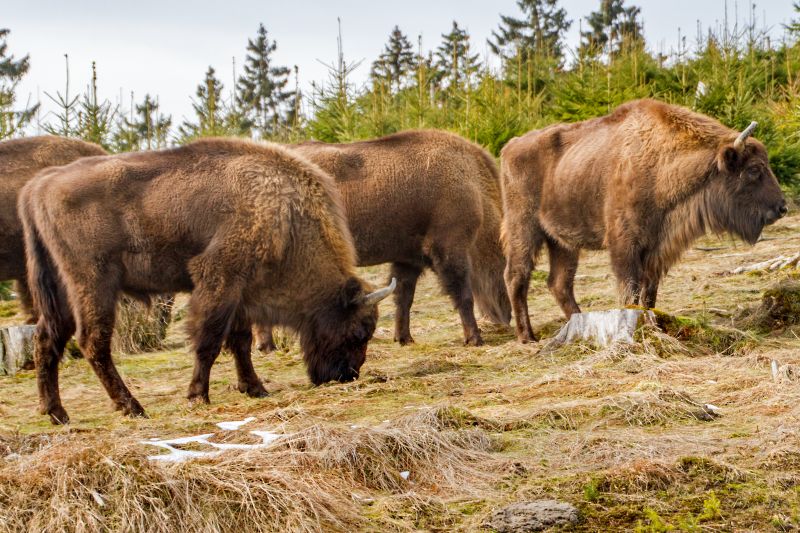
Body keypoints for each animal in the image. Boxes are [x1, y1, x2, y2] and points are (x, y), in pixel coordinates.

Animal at [18, 138, 394, 424]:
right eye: (359, 331)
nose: (347, 375)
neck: (284, 212)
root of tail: (40, 184)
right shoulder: (219, 280)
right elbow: (209, 341)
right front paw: (198, 396)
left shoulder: (240, 292)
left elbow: (240, 342)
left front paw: (255, 388)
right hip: (94, 283)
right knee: (92, 341)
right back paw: (132, 407)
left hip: (60, 290)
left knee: (47, 337)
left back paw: (56, 413)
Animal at [256, 129, 510, 348]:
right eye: (504, 264)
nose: (507, 316)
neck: (472, 186)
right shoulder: (449, 250)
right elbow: (463, 295)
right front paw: (475, 338)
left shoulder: (409, 260)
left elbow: (404, 298)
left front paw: (404, 338)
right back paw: (267, 345)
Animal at [504, 99, 784, 340]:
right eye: (753, 169)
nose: (781, 207)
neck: (660, 165)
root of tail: (510, 146)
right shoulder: (624, 246)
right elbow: (630, 291)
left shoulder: (655, 249)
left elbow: (649, 293)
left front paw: (652, 326)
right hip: (524, 230)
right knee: (517, 276)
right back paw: (527, 337)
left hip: (562, 242)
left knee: (559, 283)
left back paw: (579, 323)